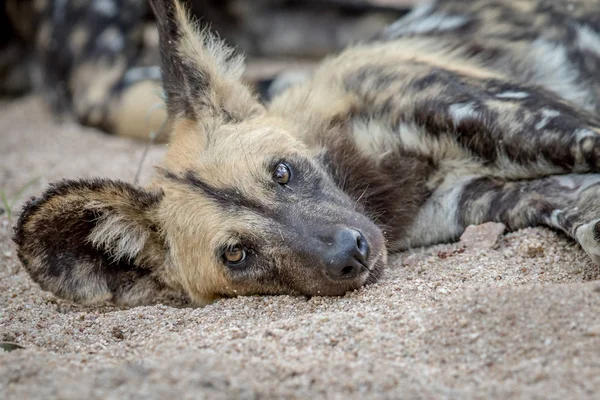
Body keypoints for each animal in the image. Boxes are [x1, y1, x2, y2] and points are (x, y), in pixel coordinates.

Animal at [10, 0, 600, 306]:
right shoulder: (503, 198)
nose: (351, 252)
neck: (384, 174)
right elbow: (586, 222)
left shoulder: (546, 127)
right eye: (236, 254)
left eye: (283, 171)